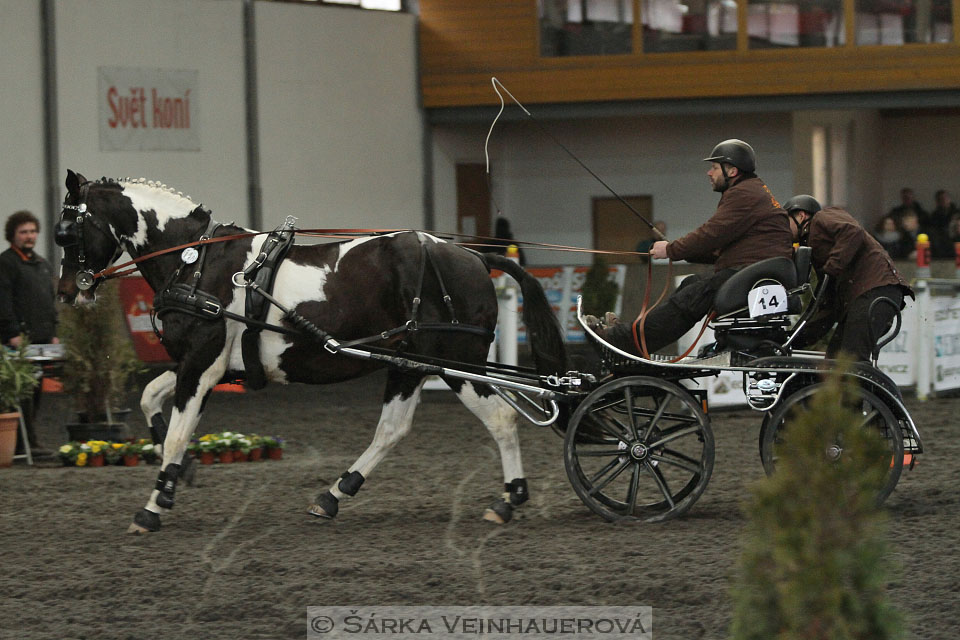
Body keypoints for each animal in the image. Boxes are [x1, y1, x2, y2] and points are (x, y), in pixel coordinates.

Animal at [56, 172, 568, 532]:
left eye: (68, 233)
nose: (66, 293)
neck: (197, 262)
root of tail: (477, 257)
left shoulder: (201, 363)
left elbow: (180, 434)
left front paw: (154, 505)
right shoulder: (197, 364)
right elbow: (151, 401)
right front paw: (181, 475)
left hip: (456, 365)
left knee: (501, 419)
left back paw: (508, 499)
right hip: (408, 365)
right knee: (392, 430)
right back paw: (334, 495)